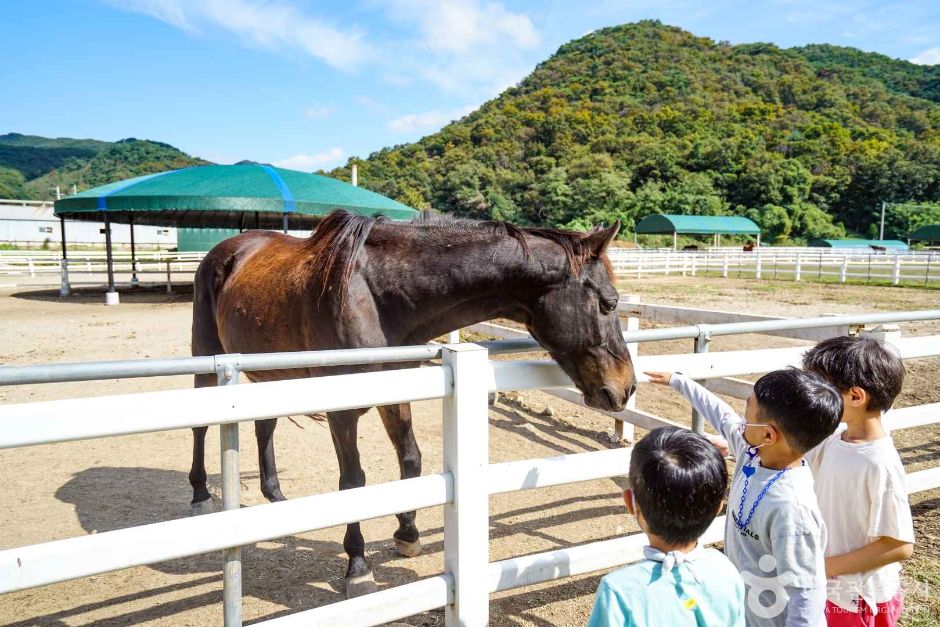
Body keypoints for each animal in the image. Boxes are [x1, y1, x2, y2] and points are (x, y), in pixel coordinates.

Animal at [188, 209, 636, 596]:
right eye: (608, 303)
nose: (627, 387)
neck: (374, 297)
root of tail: (227, 249)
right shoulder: (341, 412)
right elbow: (353, 481)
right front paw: (358, 566)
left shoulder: (397, 393)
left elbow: (411, 460)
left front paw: (407, 533)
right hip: (206, 357)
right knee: (201, 426)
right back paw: (200, 494)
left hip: (268, 373)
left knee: (265, 425)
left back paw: (275, 495)